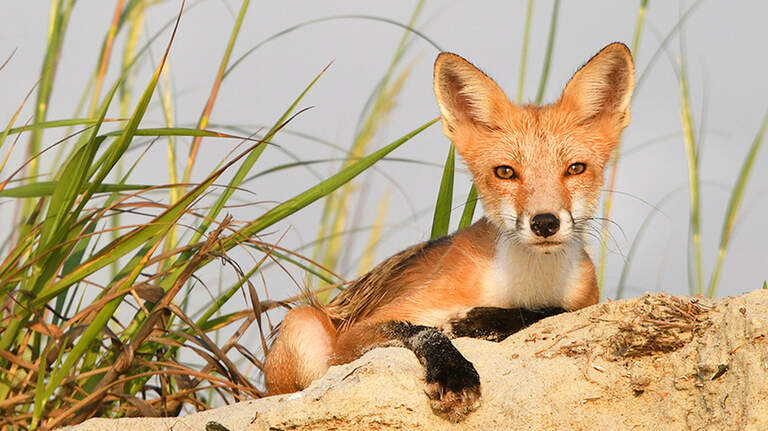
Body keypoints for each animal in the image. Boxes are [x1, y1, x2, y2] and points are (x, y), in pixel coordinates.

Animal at [263, 42, 634, 422]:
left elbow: (552, 311)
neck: (525, 283)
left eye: (575, 169)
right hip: (302, 324)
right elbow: (421, 329)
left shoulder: (587, 299)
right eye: (505, 172)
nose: (545, 223)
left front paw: (482, 321)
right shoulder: (354, 336)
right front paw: (453, 372)